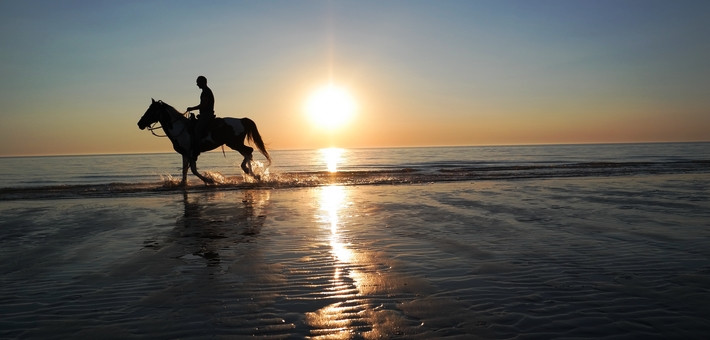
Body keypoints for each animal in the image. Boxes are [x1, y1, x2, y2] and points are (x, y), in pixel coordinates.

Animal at [138, 98, 272, 186]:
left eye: (151, 110)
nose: (139, 123)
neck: (180, 128)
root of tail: (242, 120)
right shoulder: (185, 153)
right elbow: (185, 170)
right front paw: (183, 183)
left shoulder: (191, 153)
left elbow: (193, 169)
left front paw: (210, 180)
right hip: (235, 144)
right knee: (248, 152)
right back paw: (250, 172)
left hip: (234, 143)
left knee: (248, 151)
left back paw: (250, 172)